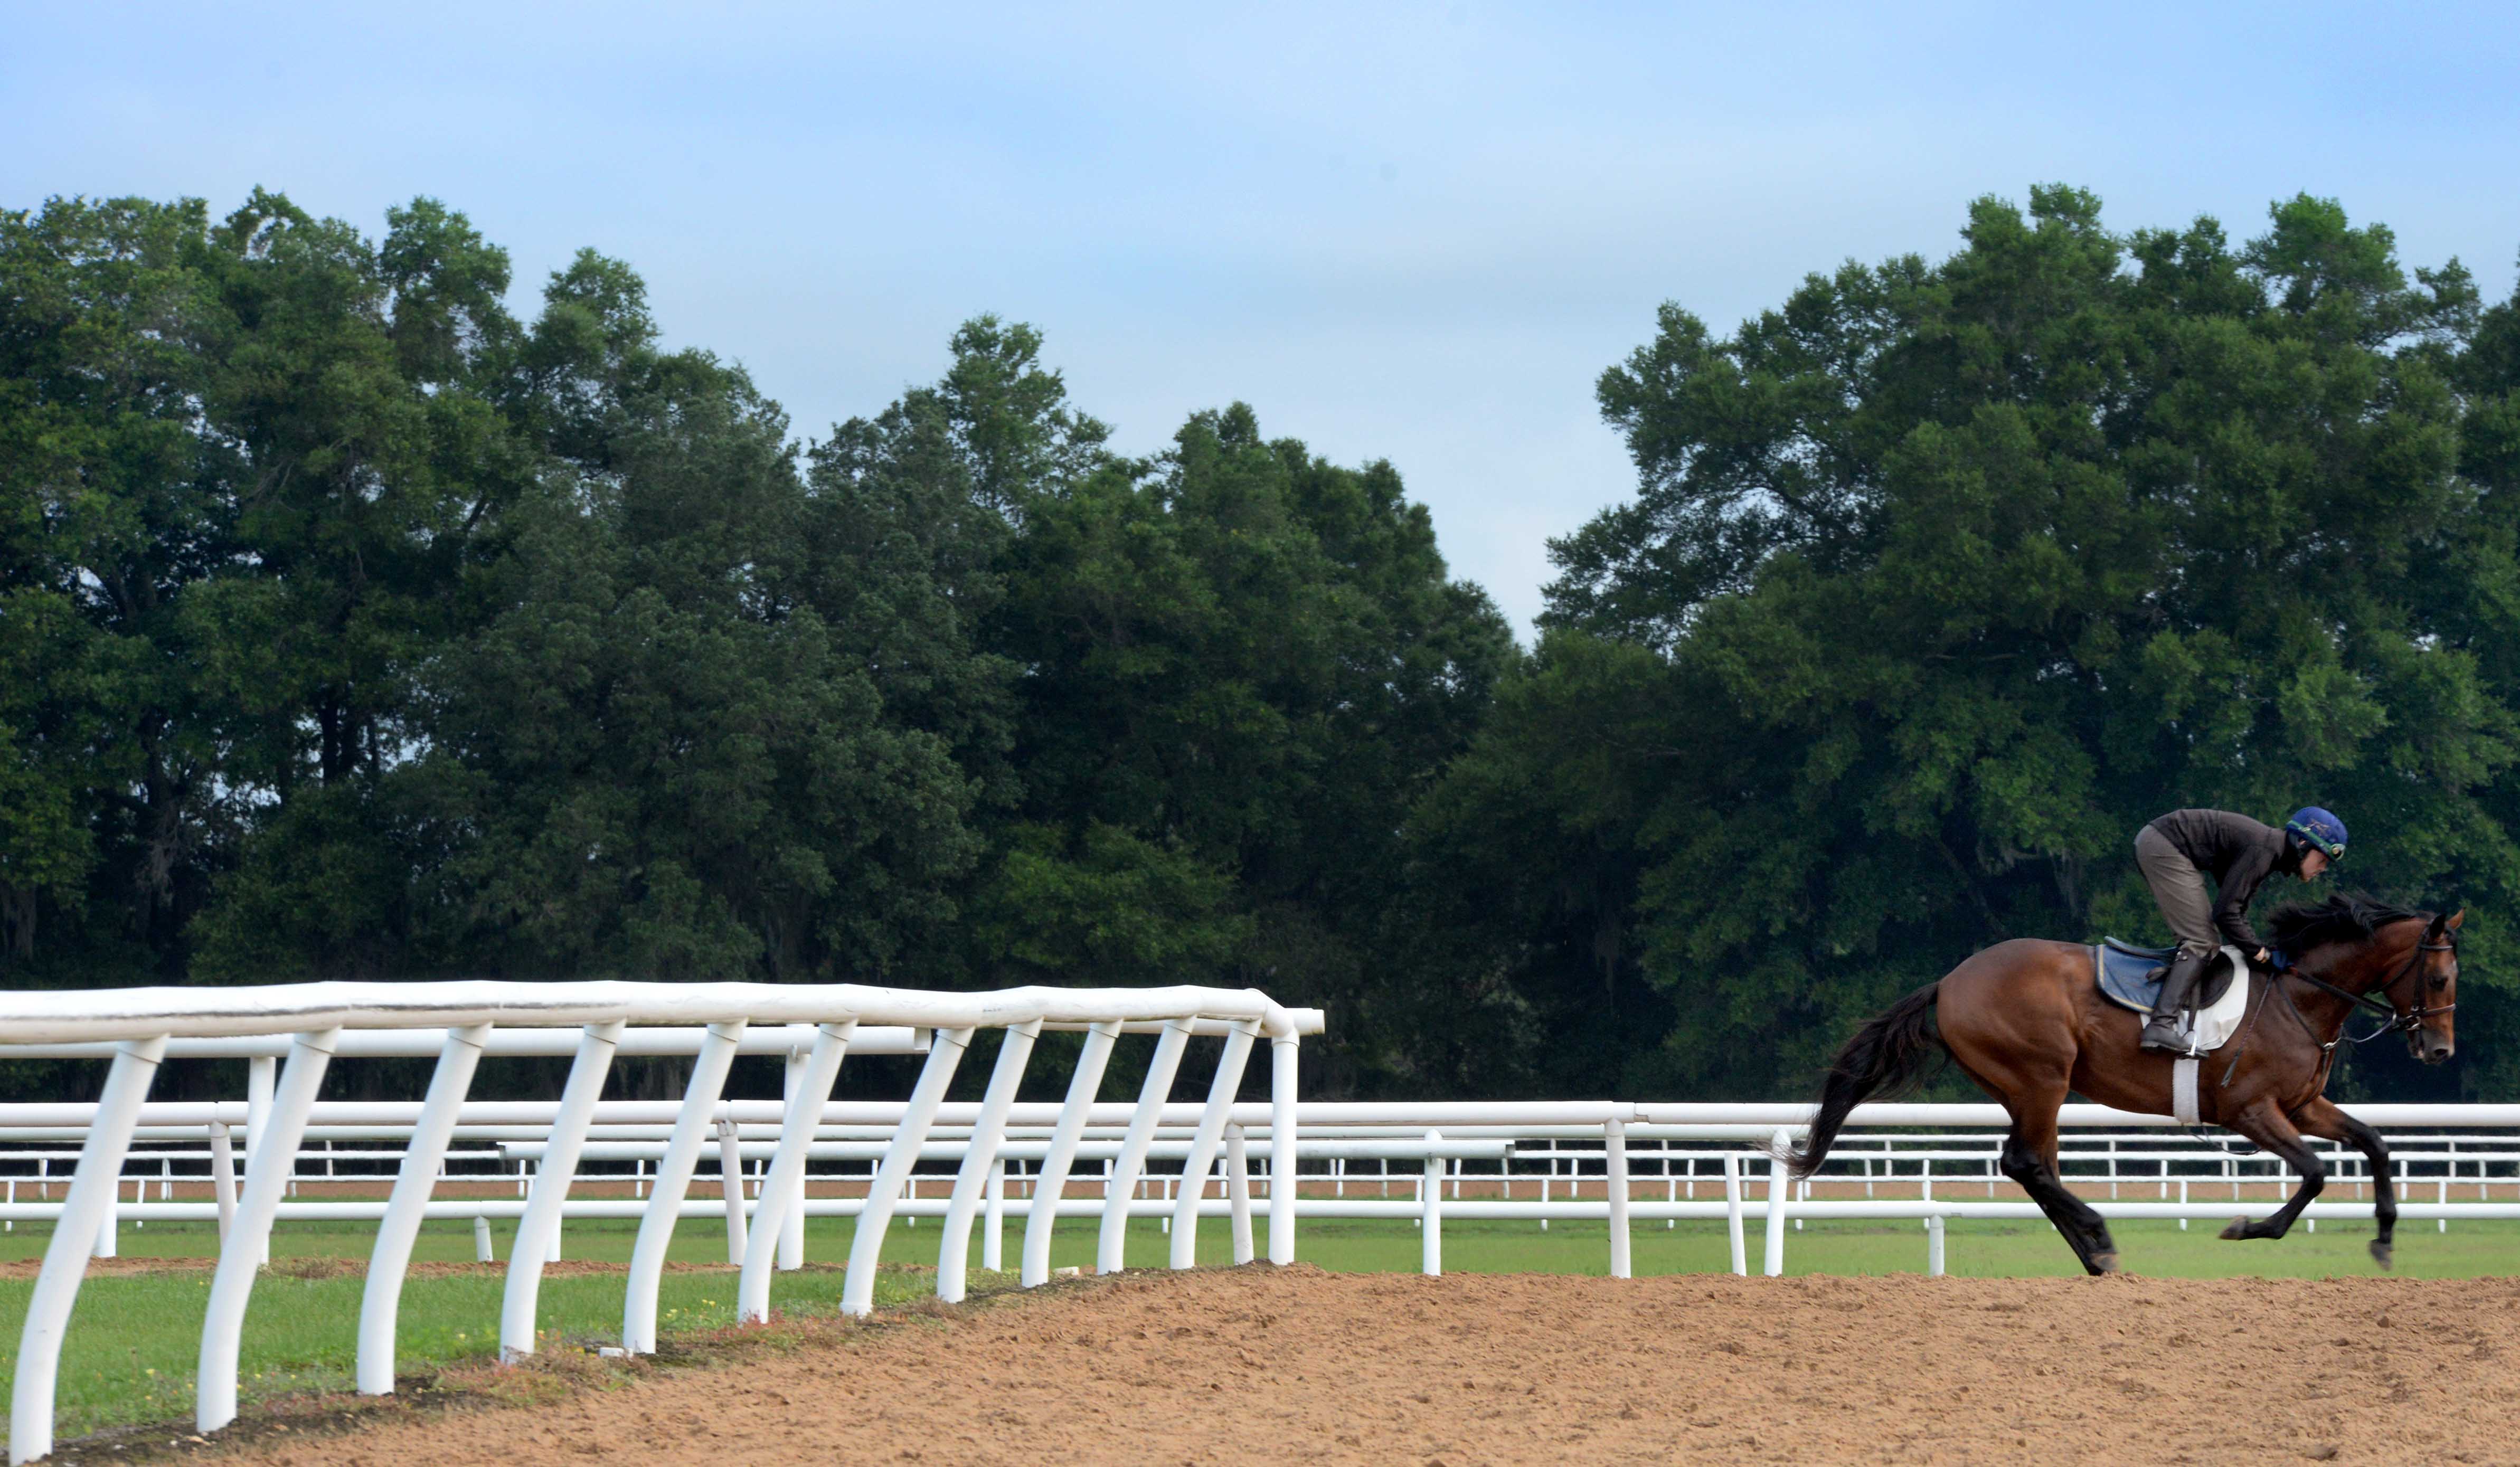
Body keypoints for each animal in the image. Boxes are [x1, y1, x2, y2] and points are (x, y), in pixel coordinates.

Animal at [1794, 897, 2459, 1275]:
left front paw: (2385, 1238)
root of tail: (1950, 980)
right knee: (2027, 1162)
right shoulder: (2250, 1110)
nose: (2440, 1050)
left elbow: (2375, 1143)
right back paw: (2101, 1235)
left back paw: (2095, 1255)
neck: (2297, 994)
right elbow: (2318, 1172)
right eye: (2438, 976)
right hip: (2041, 1076)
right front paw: (2250, 1227)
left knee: (2035, 1167)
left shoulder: (2302, 1104)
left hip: (2030, 1087)